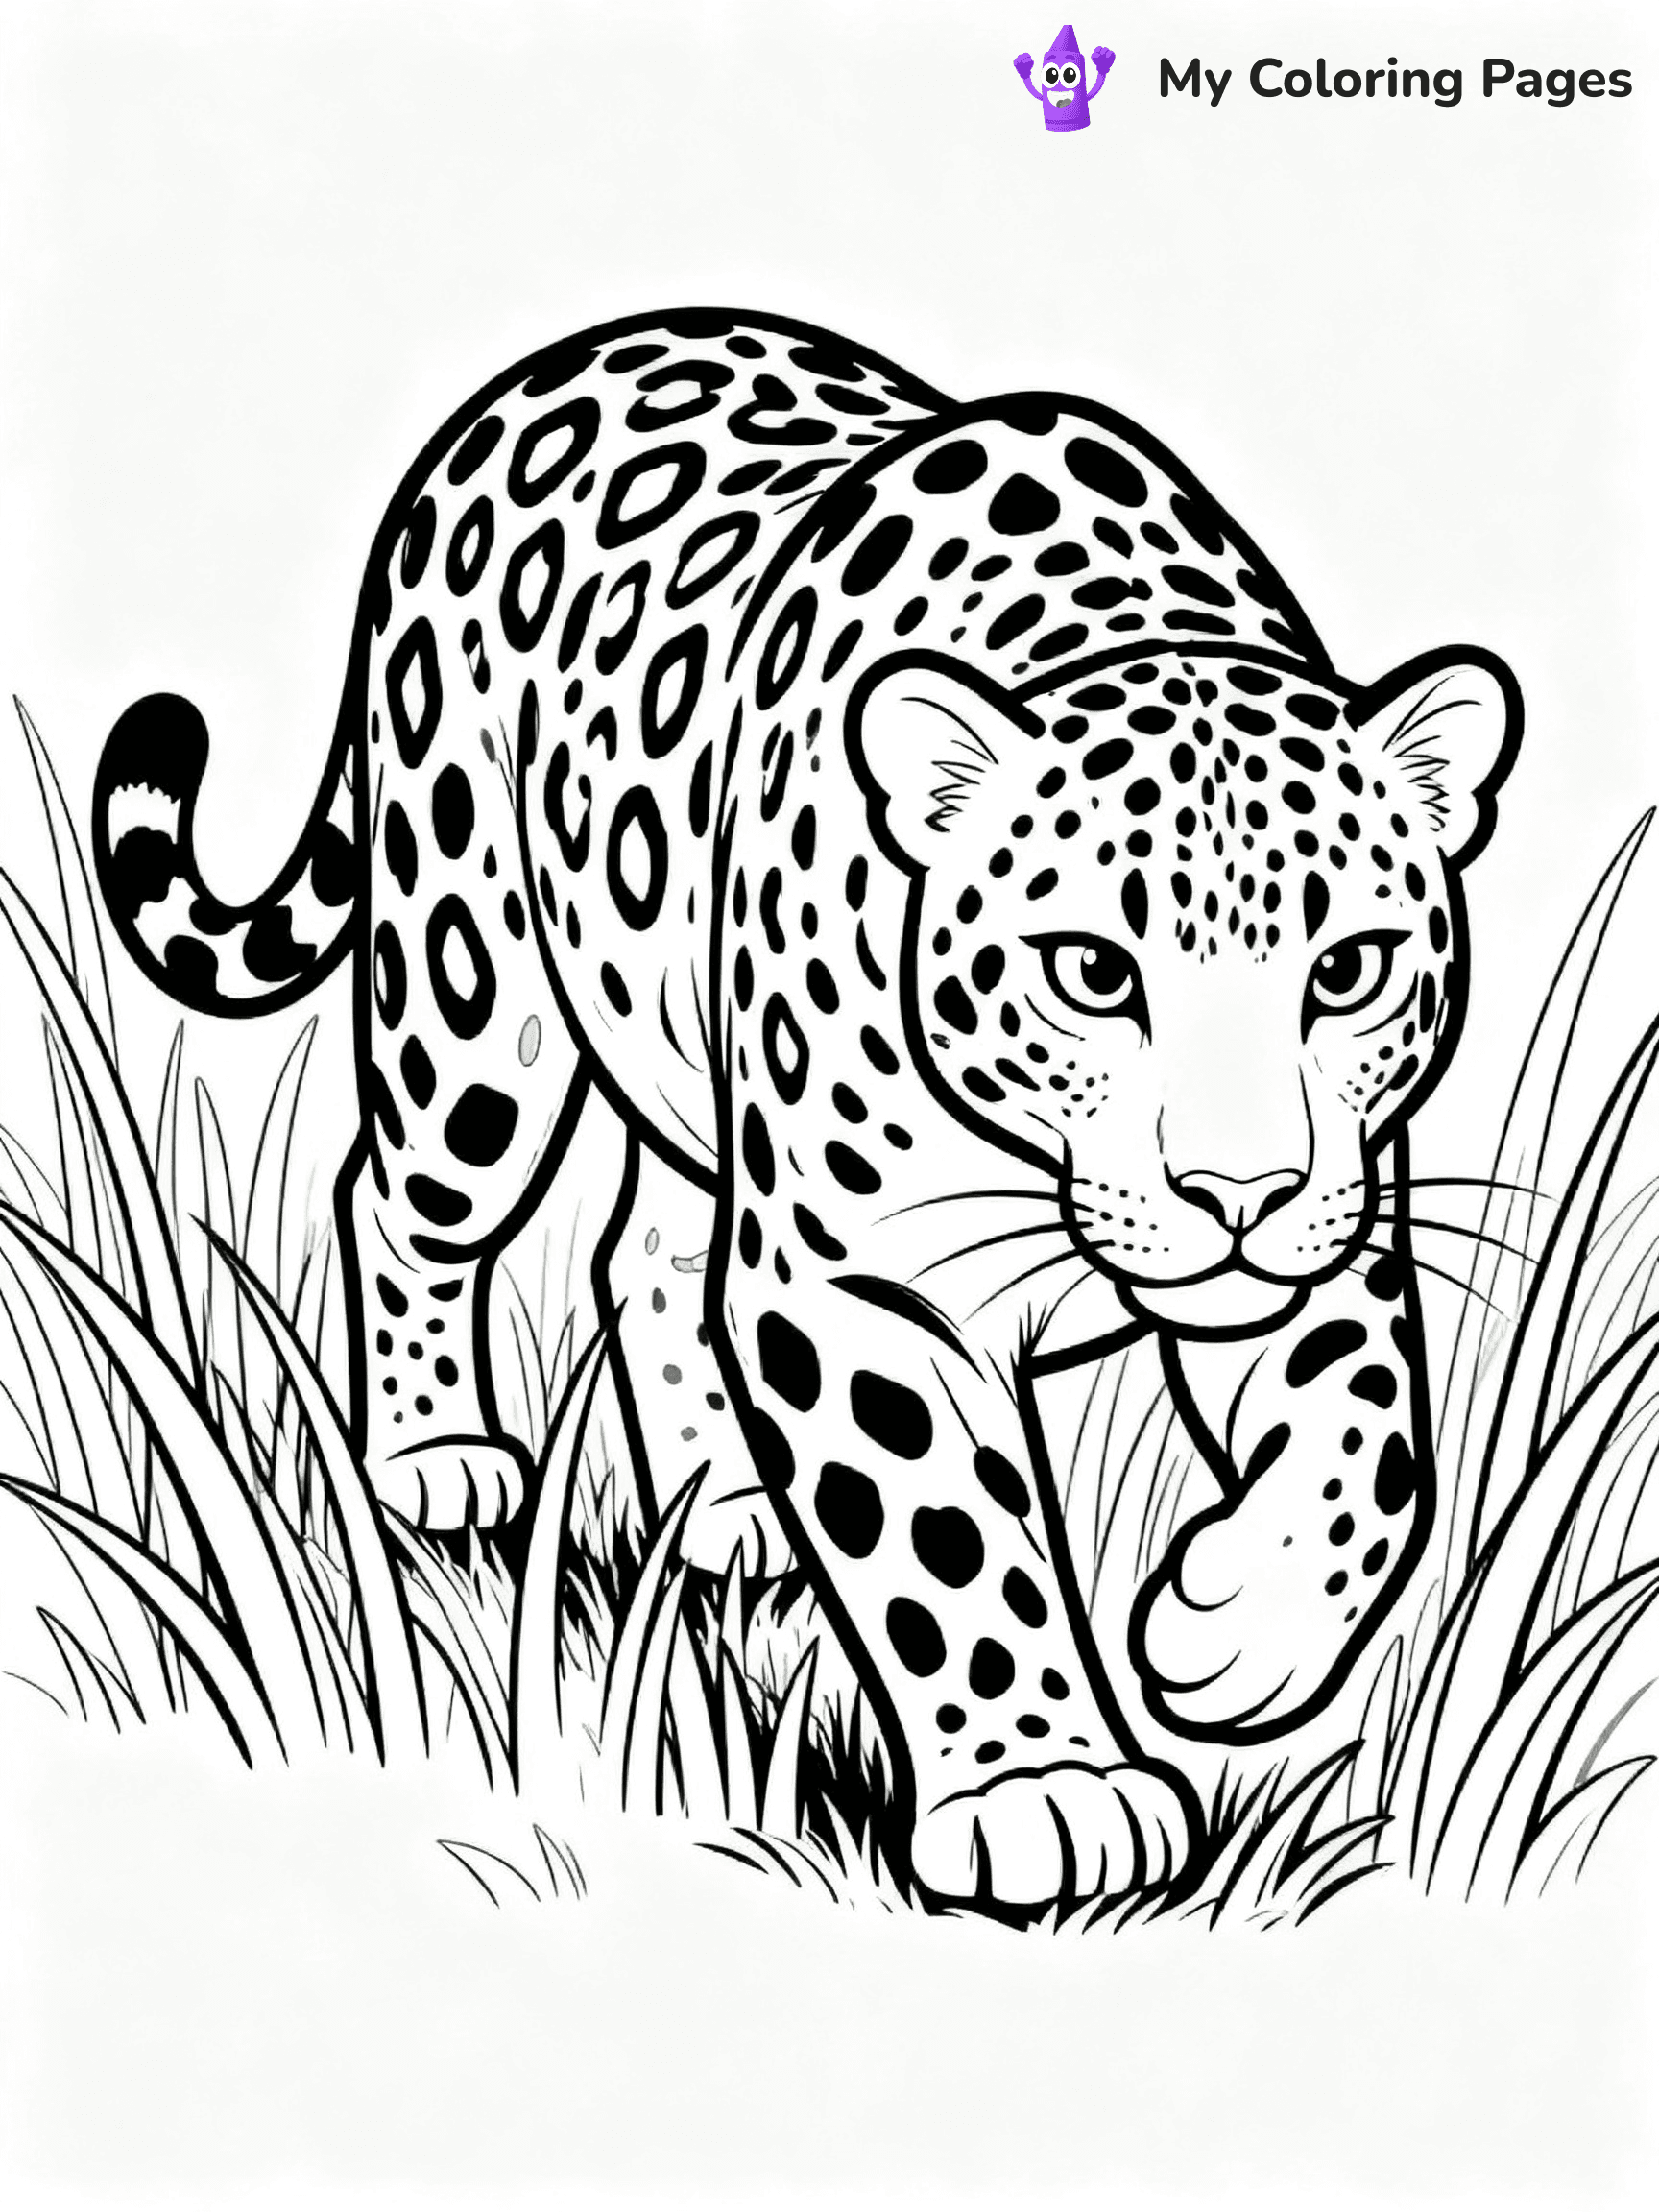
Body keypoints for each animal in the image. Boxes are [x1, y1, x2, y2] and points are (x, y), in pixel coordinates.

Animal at [92, 308, 1520, 1912]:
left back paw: (725, 1506)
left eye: (1349, 971)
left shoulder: (1339, 1239)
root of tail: (518, 388)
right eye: (1093, 971)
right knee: (405, 1198)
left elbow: (1371, 1451)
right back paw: (432, 1460)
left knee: (646, 1252)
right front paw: (1048, 1790)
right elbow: (947, 1539)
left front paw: (1227, 1635)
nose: (1238, 1194)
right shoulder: (860, 1284)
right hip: (471, 990)